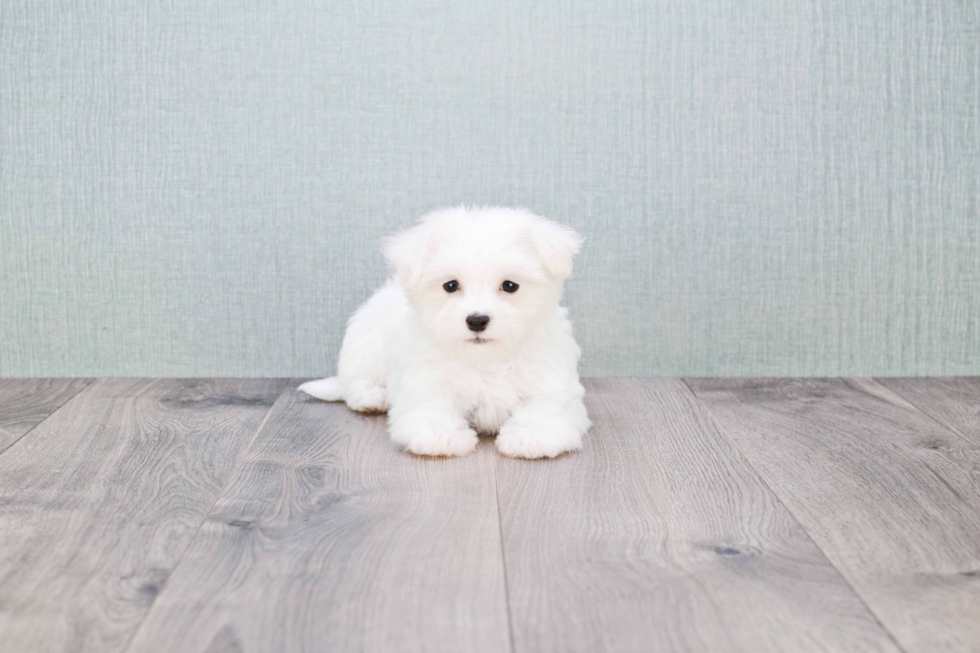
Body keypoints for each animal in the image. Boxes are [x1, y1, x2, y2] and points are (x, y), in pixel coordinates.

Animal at [298, 206, 588, 456]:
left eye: (509, 285)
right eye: (451, 285)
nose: (477, 320)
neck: (485, 359)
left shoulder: (550, 377)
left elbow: (546, 406)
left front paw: (531, 435)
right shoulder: (425, 378)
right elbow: (431, 405)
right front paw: (441, 435)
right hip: (368, 344)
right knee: (355, 380)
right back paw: (371, 397)